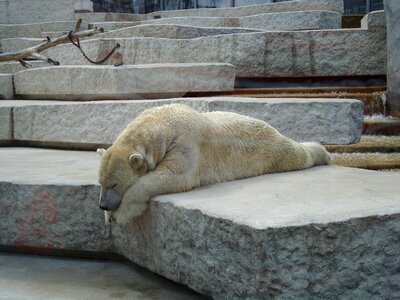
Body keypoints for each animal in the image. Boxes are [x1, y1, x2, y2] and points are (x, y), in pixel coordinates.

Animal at [96, 104, 328, 224]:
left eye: (115, 184)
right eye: (101, 182)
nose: (102, 205)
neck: (161, 121)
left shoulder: (186, 143)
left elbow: (173, 175)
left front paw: (119, 214)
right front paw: (109, 214)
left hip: (268, 149)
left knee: (293, 154)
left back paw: (322, 154)